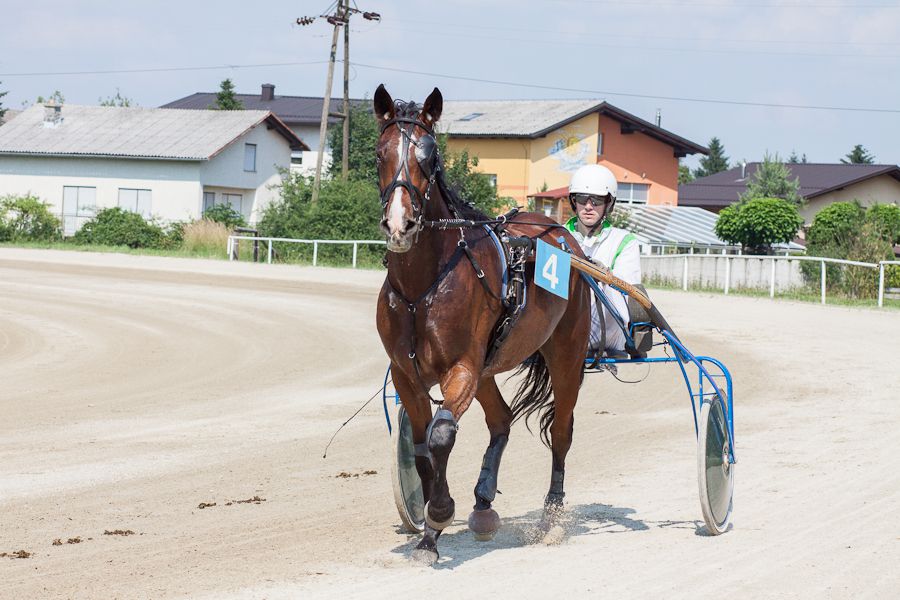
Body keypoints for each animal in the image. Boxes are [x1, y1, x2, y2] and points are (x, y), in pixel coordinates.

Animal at [372, 85, 592, 568]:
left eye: (429, 154)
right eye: (380, 153)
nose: (400, 224)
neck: (423, 285)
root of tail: (562, 235)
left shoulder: (461, 369)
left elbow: (441, 436)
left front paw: (438, 516)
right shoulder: (406, 374)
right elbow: (420, 447)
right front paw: (429, 530)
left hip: (566, 355)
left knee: (562, 432)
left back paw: (549, 518)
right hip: (490, 365)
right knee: (502, 420)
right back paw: (484, 503)